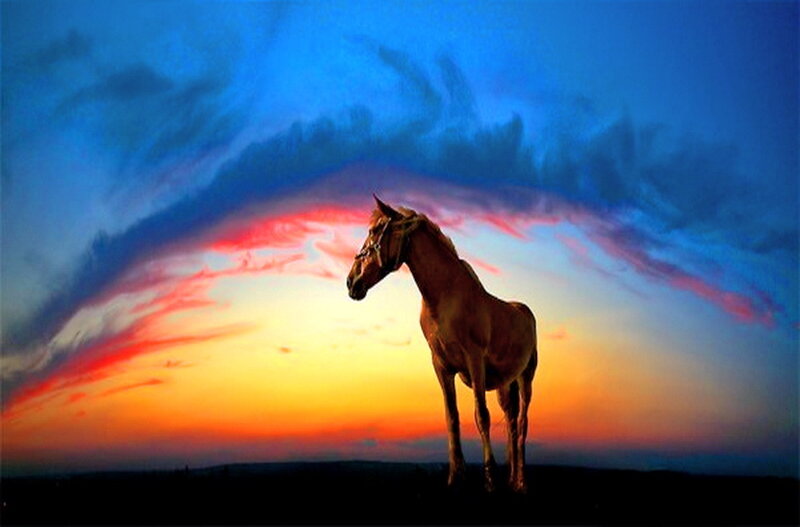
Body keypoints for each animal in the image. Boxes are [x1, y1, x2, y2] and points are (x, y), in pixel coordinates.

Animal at [347, 196, 538, 493]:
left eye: (375, 231)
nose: (351, 281)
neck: (447, 298)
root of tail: (525, 311)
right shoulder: (442, 367)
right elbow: (452, 419)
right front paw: (455, 477)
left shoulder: (475, 362)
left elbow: (481, 415)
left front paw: (490, 480)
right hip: (506, 385)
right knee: (511, 425)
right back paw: (513, 480)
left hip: (525, 378)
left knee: (522, 424)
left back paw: (520, 483)